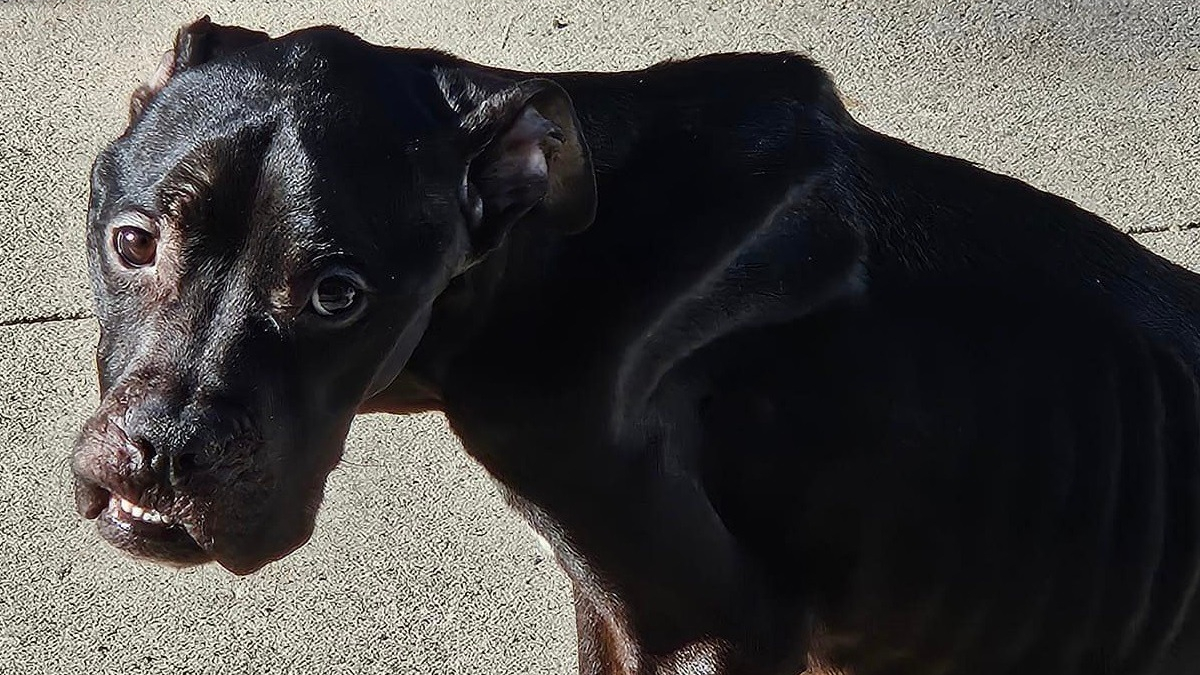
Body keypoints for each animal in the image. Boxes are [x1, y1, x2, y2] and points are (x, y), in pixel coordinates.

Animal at [72, 15, 1200, 672]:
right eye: (132, 242)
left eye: (337, 294)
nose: (160, 452)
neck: (543, 262)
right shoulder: (616, 605)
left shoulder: (712, 628)